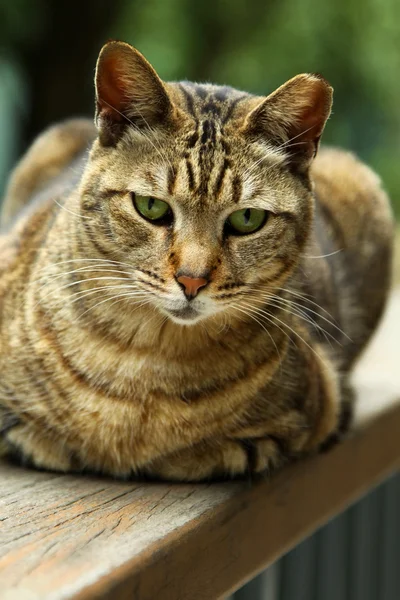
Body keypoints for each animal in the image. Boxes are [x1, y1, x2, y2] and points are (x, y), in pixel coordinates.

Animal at [0, 39, 394, 480]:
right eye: (151, 207)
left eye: (247, 219)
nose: (192, 279)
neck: (145, 361)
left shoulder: (310, 408)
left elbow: (202, 452)